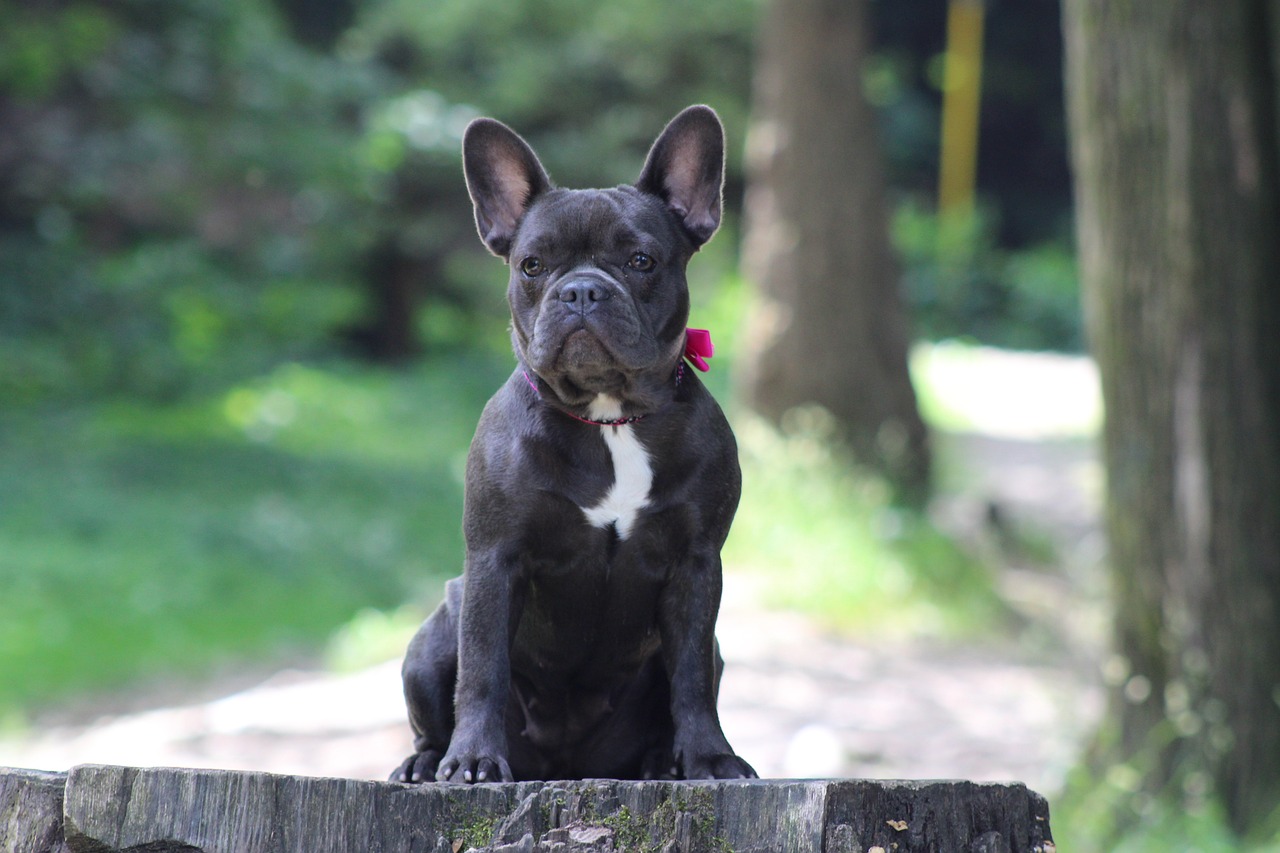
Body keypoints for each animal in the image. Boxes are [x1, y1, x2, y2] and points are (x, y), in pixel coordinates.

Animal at [384, 103, 752, 778]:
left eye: (641, 261)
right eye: (532, 265)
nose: (581, 289)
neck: (610, 419)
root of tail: (565, 766)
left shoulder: (696, 565)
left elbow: (690, 678)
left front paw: (710, 758)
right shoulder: (495, 559)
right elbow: (483, 668)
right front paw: (472, 760)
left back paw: (662, 762)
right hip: (434, 634)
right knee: (438, 698)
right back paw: (429, 762)